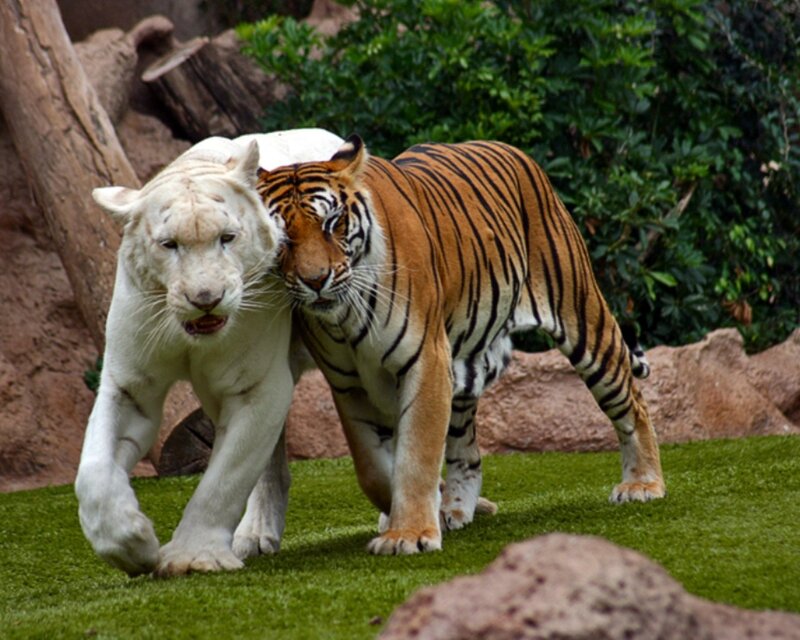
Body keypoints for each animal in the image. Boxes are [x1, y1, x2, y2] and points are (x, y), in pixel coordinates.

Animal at [256, 135, 665, 555]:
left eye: (332, 223)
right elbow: (372, 467)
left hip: (582, 316)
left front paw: (408, 534)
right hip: (464, 366)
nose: (315, 280)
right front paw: (420, 516)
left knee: (632, 403)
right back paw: (457, 509)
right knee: (467, 451)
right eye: (281, 238)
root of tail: (511, 148)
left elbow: (416, 455)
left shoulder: (425, 360)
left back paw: (643, 485)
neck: (344, 316)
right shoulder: (349, 384)